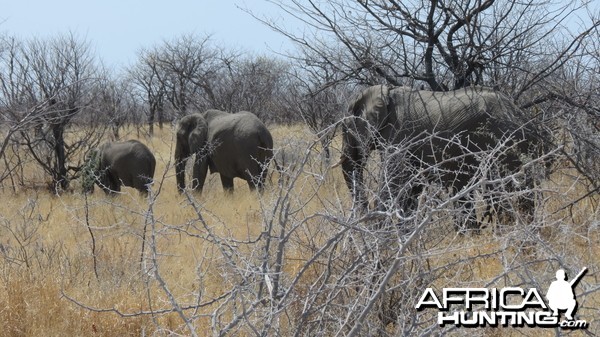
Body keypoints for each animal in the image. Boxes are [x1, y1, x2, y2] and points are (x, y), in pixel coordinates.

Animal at [332, 85, 548, 230]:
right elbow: (411, 189)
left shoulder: (400, 136)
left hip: (506, 144)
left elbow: (394, 183)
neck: (385, 92)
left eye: (346, 127)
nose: (364, 214)